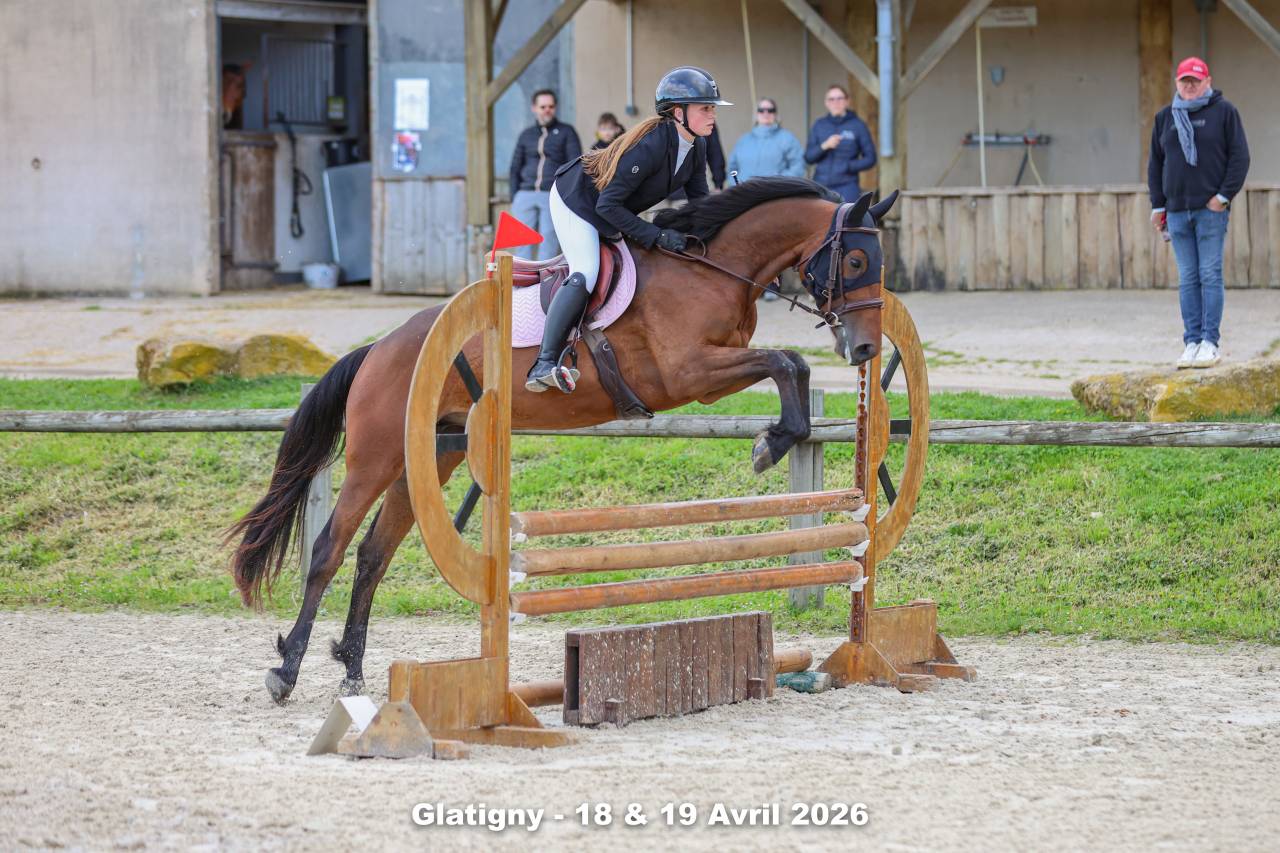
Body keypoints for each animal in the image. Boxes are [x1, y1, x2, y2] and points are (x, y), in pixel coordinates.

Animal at [227, 176, 898, 702]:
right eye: (855, 262)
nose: (865, 348)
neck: (711, 268)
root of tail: (379, 348)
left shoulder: (710, 378)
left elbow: (793, 366)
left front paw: (778, 438)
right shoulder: (688, 373)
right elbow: (786, 361)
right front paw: (771, 444)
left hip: (432, 457)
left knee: (373, 554)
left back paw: (352, 671)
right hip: (377, 455)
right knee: (330, 548)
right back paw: (286, 672)